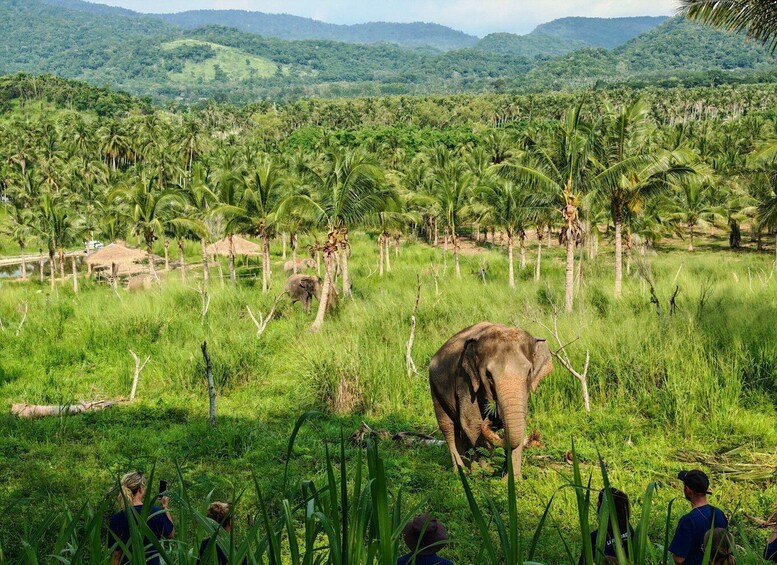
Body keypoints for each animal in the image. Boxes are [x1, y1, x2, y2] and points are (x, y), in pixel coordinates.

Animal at [428, 322, 553, 478]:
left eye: (529, 372)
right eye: (488, 375)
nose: (491, 420)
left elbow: (521, 423)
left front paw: (512, 480)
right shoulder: (465, 379)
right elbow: (472, 423)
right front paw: (487, 471)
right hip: (434, 387)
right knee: (448, 427)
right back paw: (461, 471)